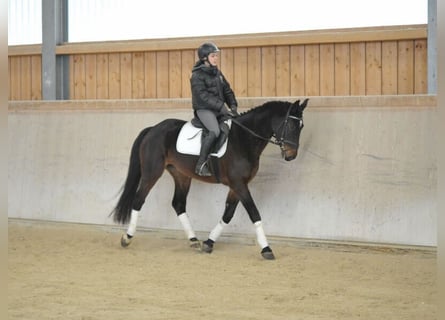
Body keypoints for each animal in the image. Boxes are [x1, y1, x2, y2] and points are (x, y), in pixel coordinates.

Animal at [109, 98, 306, 260]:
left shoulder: (237, 185)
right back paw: (127, 238)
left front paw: (209, 242)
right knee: (138, 199)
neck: (243, 139)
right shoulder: (239, 184)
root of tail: (153, 129)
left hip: (181, 175)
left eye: (301, 127)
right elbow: (254, 213)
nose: (291, 156)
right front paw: (266, 249)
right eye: (291, 126)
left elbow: (228, 214)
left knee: (178, 204)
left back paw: (194, 240)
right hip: (152, 172)